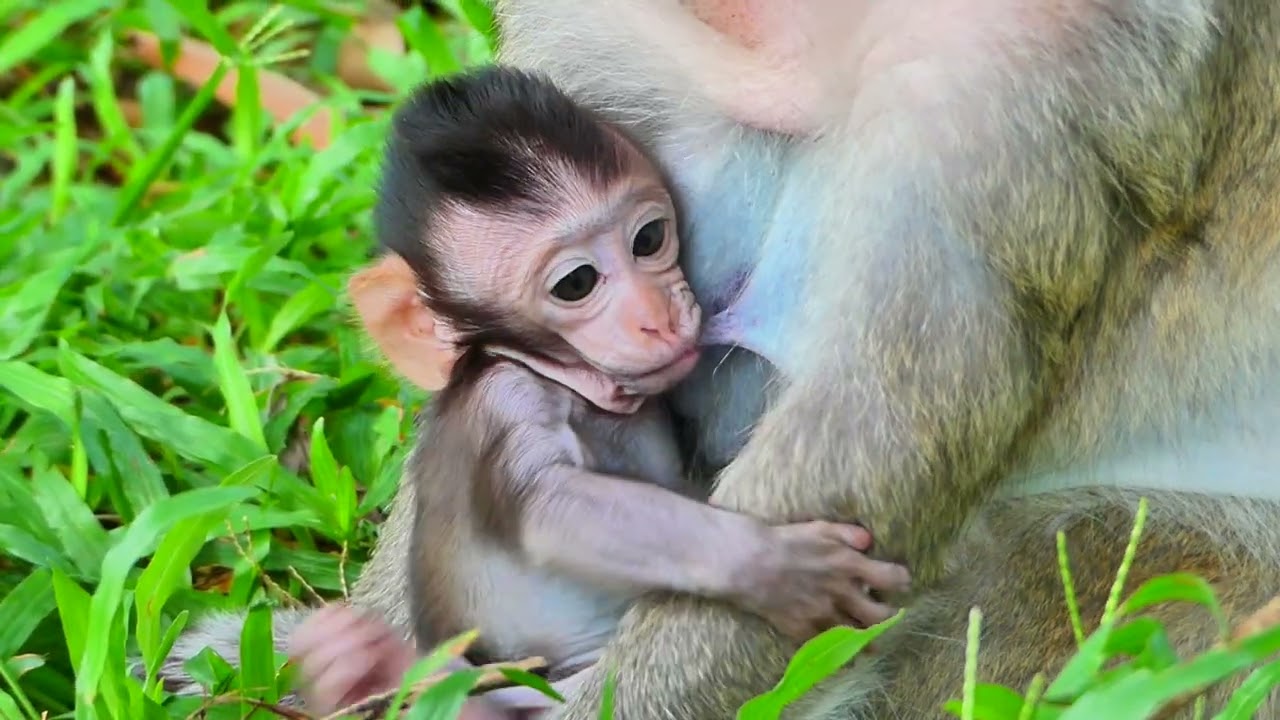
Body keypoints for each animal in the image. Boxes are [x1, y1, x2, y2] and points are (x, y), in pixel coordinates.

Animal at [156, 2, 1280, 719]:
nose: (654, 316)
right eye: (577, 283)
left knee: (1084, 551)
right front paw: (345, 654)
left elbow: (877, 446)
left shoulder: (1040, 57)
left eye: (649, 243)